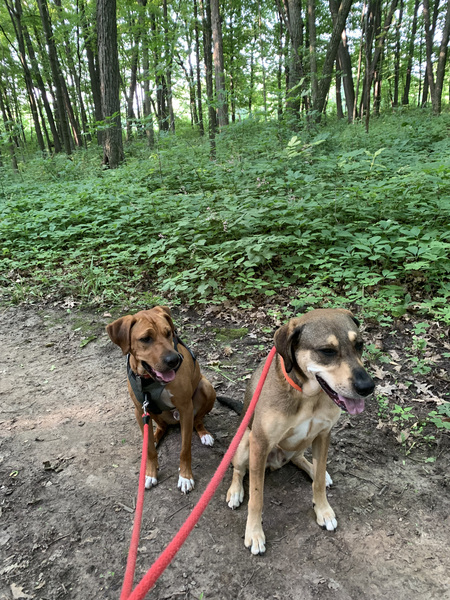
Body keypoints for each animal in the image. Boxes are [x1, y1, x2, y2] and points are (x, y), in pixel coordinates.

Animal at [107, 308, 216, 494]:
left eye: (168, 333)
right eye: (145, 339)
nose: (174, 360)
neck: (149, 380)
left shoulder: (186, 409)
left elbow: (185, 449)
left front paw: (185, 477)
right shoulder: (139, 410)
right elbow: (150, 450)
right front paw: (150, 473)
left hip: (206, 387)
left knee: (198, 420)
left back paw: (204, 433)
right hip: (151, 411)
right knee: (161, 427)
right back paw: (155, 436)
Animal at [227, 312, 374, 556]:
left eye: (359, 345)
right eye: (327, 351)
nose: (368, 387)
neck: (308, 397)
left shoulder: (324, 434)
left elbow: (318, 483)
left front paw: (323, 510)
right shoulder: (260, 443)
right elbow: (256, 497)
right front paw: (254, 533)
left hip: (305, 441)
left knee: (299, 459)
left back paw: (315, 471)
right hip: (245, 444)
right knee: (238, 471)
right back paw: (235, 491)